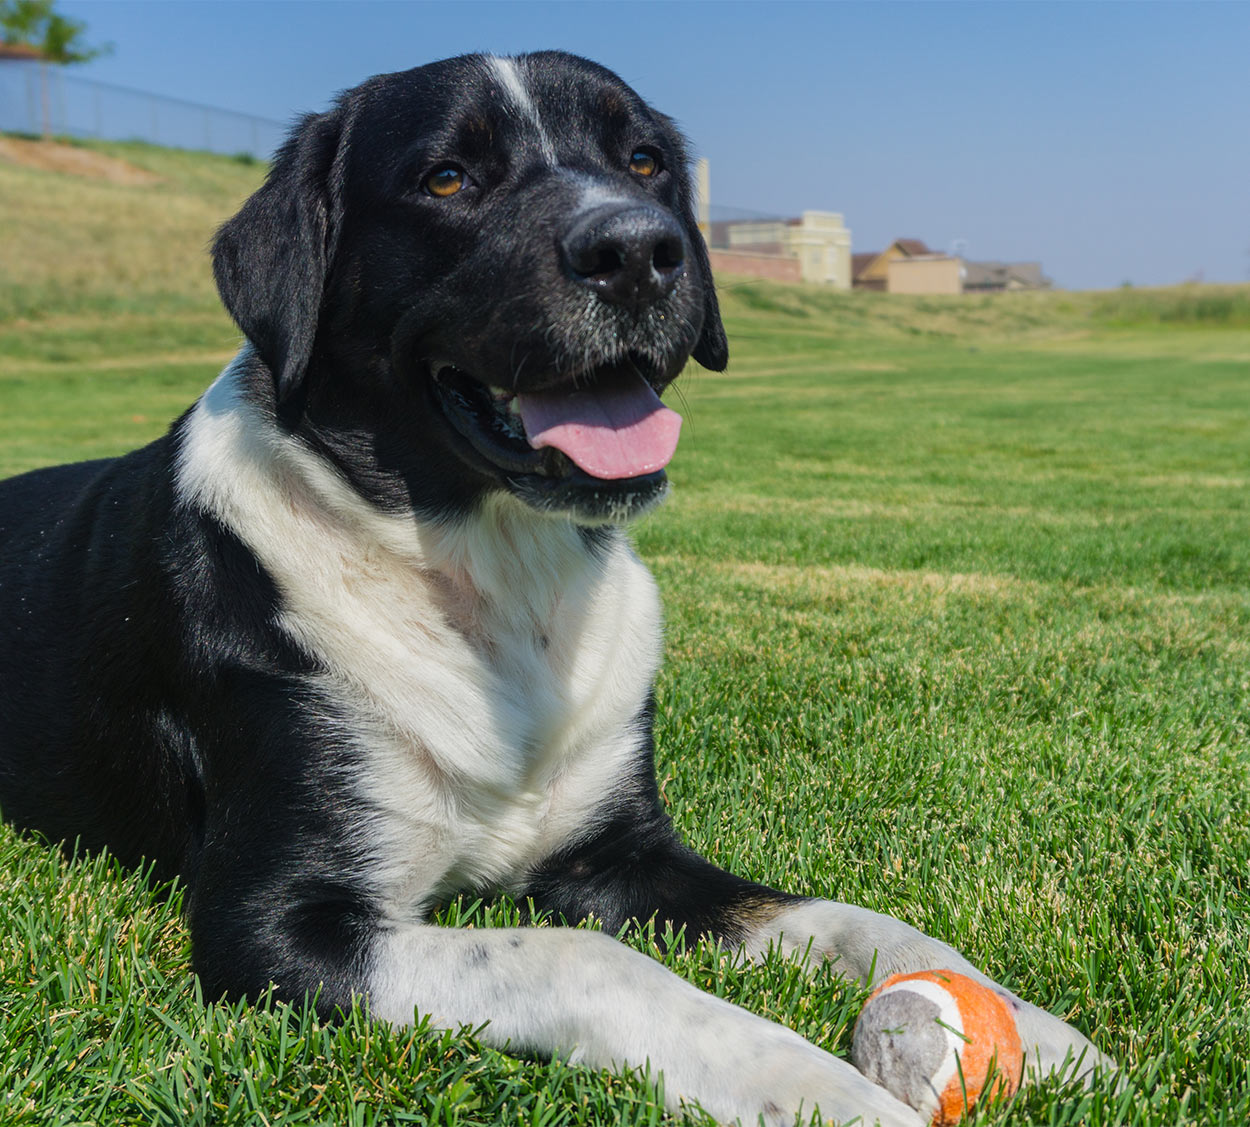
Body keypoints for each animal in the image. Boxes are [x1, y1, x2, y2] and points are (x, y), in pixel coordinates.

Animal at [2, 53, 1115, 1127]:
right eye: (447, 177)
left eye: (642, 161)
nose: (637, 250)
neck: (491, 577)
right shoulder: (276, 925)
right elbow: (578, 954)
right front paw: (806, 1082)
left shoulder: (622, 851)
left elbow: (837, 914)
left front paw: (1030, 1025)